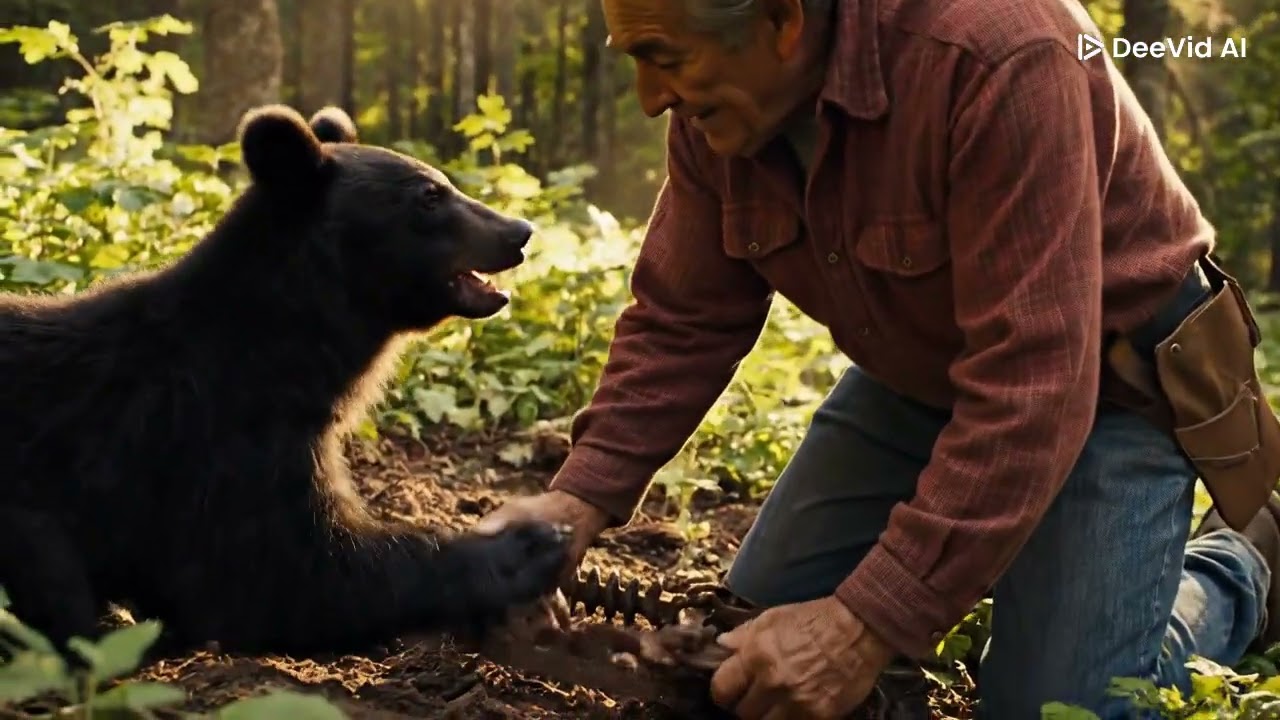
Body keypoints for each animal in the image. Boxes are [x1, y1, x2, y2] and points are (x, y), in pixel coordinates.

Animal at [0, 103, 569, 659]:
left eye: (443, 183)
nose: (519, 231)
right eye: (429, 196)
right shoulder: (210, 440)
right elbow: (292, 574)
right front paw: (527, 544)